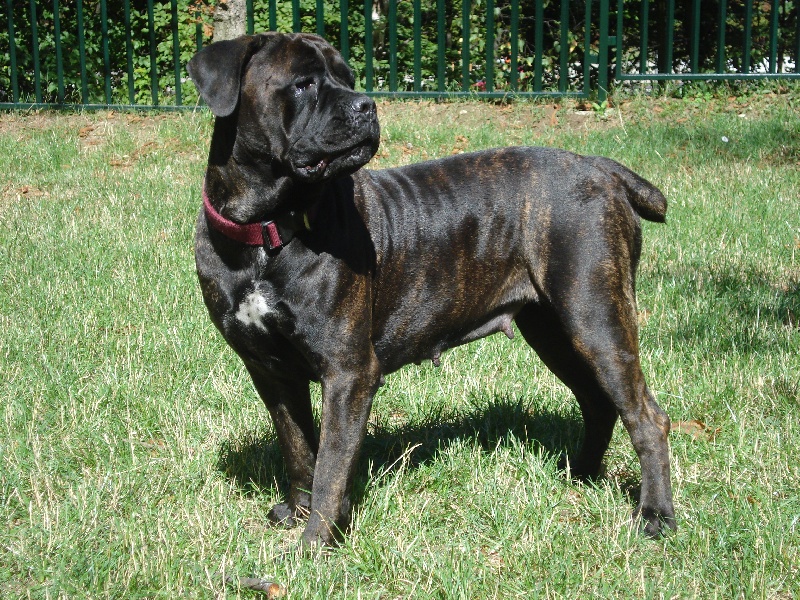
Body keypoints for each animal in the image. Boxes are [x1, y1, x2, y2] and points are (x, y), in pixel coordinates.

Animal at [187, 32, 676, 547]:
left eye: (347, 78)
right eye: (302, 83)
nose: (366, 105)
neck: (266, 229)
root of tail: (601, 168)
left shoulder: (347, 373)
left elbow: (331, 466)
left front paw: (317, 539)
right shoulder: (271, 371)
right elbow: (299, 446)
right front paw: (297, 512)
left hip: (596, 320)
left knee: (647, 418)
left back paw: (655, 515)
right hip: (555, 332)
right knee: (598, 403)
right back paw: (579, 474)